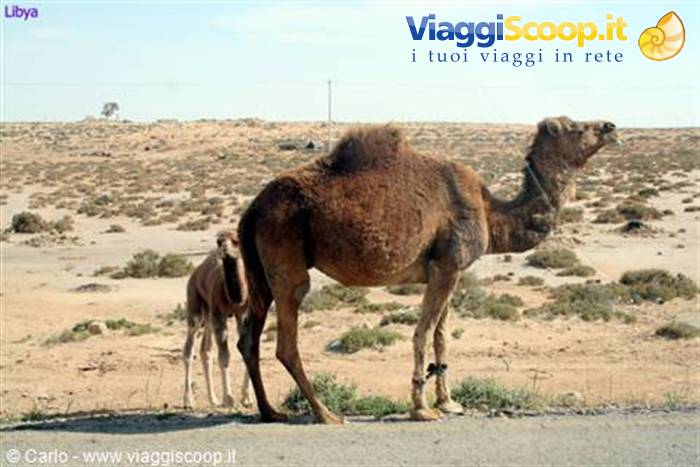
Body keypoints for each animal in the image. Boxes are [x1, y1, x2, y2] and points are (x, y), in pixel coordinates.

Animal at [183, 230, 251, 409]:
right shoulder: (219, 315)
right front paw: (229, 398)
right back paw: (188, 401)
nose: (223, 249)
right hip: (196, 309)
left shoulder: (244, 314)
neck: (236, 298)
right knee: (188, 350)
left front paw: (247, 398)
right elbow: (224, 356)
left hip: (208, 316)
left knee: (205, 350)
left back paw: (213, 399)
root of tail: (196, 272)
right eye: (219, 241)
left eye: (235, 240)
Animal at [236, 116, 619, 423]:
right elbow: (423, 333)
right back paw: (325, 413)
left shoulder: (447, 270)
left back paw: (270, 411)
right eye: (578, 128)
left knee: (249, 338)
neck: (490, 212)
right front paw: (421, 408)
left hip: (260, 271)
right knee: (287, 339)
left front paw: (448, 402)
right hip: (285, 250)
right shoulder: (448, 265)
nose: (611, 127)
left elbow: (441, 335)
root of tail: (252, 208)